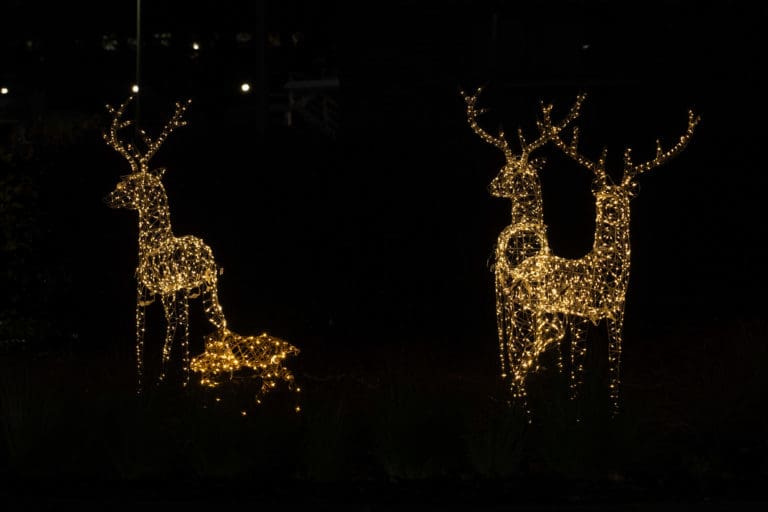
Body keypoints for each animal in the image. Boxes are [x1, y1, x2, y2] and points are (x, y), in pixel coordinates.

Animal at [104, 96, 299, 396]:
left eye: (131, 183)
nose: (108, 197)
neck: (153, 244)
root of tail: (205, 250)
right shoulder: (152, 292)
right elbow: (152, 332)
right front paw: (151, 381)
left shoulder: (162, 289)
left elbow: (160, 331)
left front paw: (160, 382)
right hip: (200, 288)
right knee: (210, 322)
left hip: (195, 287)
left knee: (200, 323)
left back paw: (211, 373)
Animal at [503, 98, 699, 412]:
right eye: (604, 197)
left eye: (621, 198)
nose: (612, 209)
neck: (603, 267)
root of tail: (515, 272)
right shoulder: (581, 314)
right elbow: (577, 371)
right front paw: (575, 410)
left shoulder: (618, 310)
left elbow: (614, 367)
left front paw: (614, 409)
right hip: (531, 314)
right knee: (520, 359)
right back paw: (522, 410)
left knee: (518, 358)